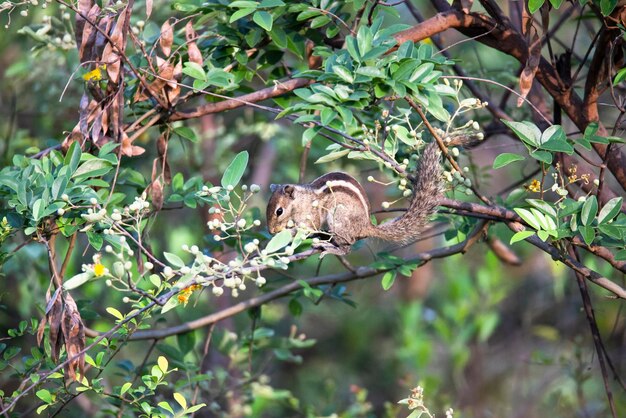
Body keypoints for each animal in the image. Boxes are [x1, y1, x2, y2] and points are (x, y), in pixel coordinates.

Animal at [266, 142, 442, 256]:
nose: (272, 231)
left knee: (347, 247)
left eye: (279, 211)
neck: (301, 201)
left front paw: (289, 233)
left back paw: (333, 248)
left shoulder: (311, 215)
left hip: (338, 218)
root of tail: (366, 226)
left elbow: (308, 227)